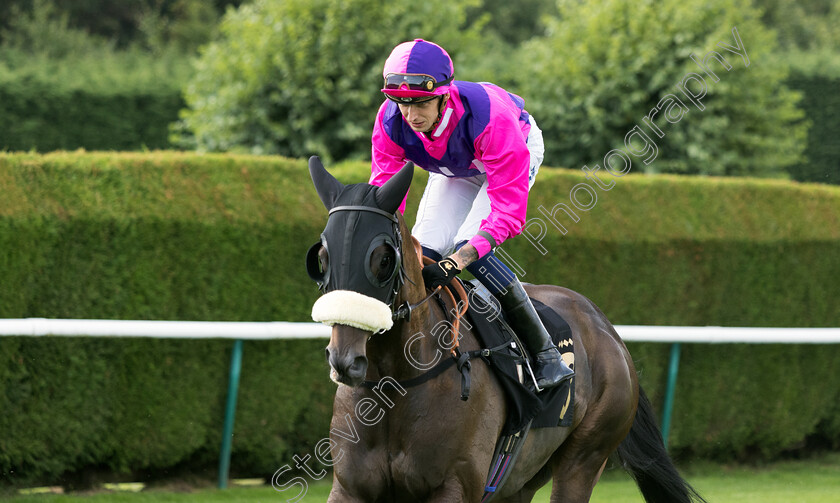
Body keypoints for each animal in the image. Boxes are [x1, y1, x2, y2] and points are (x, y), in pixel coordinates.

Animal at [306, 156, 704, 502]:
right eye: (321, 258)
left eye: (384, 258)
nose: (345, 360)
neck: (398, 384)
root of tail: (608, 331)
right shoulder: (349, 489)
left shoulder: (454, 486)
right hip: (520, 481)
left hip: (585, 458)